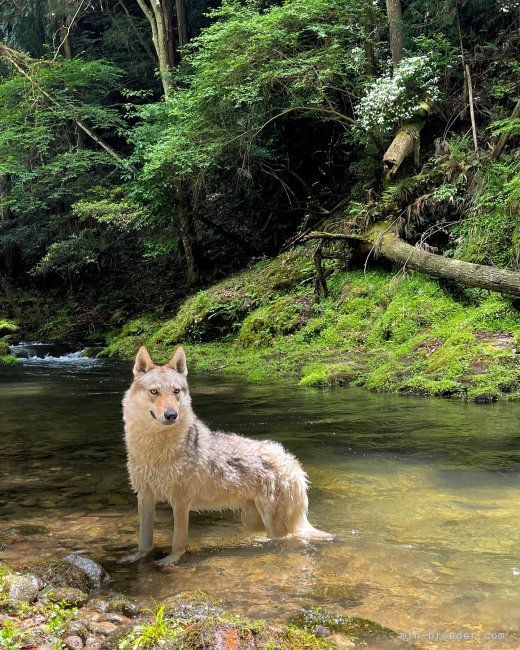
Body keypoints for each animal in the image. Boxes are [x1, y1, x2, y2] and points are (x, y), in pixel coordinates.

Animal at [122, 344, 334, 560]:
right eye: (154, 391)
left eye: (176, 391)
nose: (172, 415)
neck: (154, 448)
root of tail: (292, 461)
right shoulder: (144, 497)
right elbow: (144, 540)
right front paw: (137, 557)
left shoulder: (180, 502)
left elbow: (178, 541)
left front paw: (171, 561)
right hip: (253, 520)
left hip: (275, 525)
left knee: (292, 539)